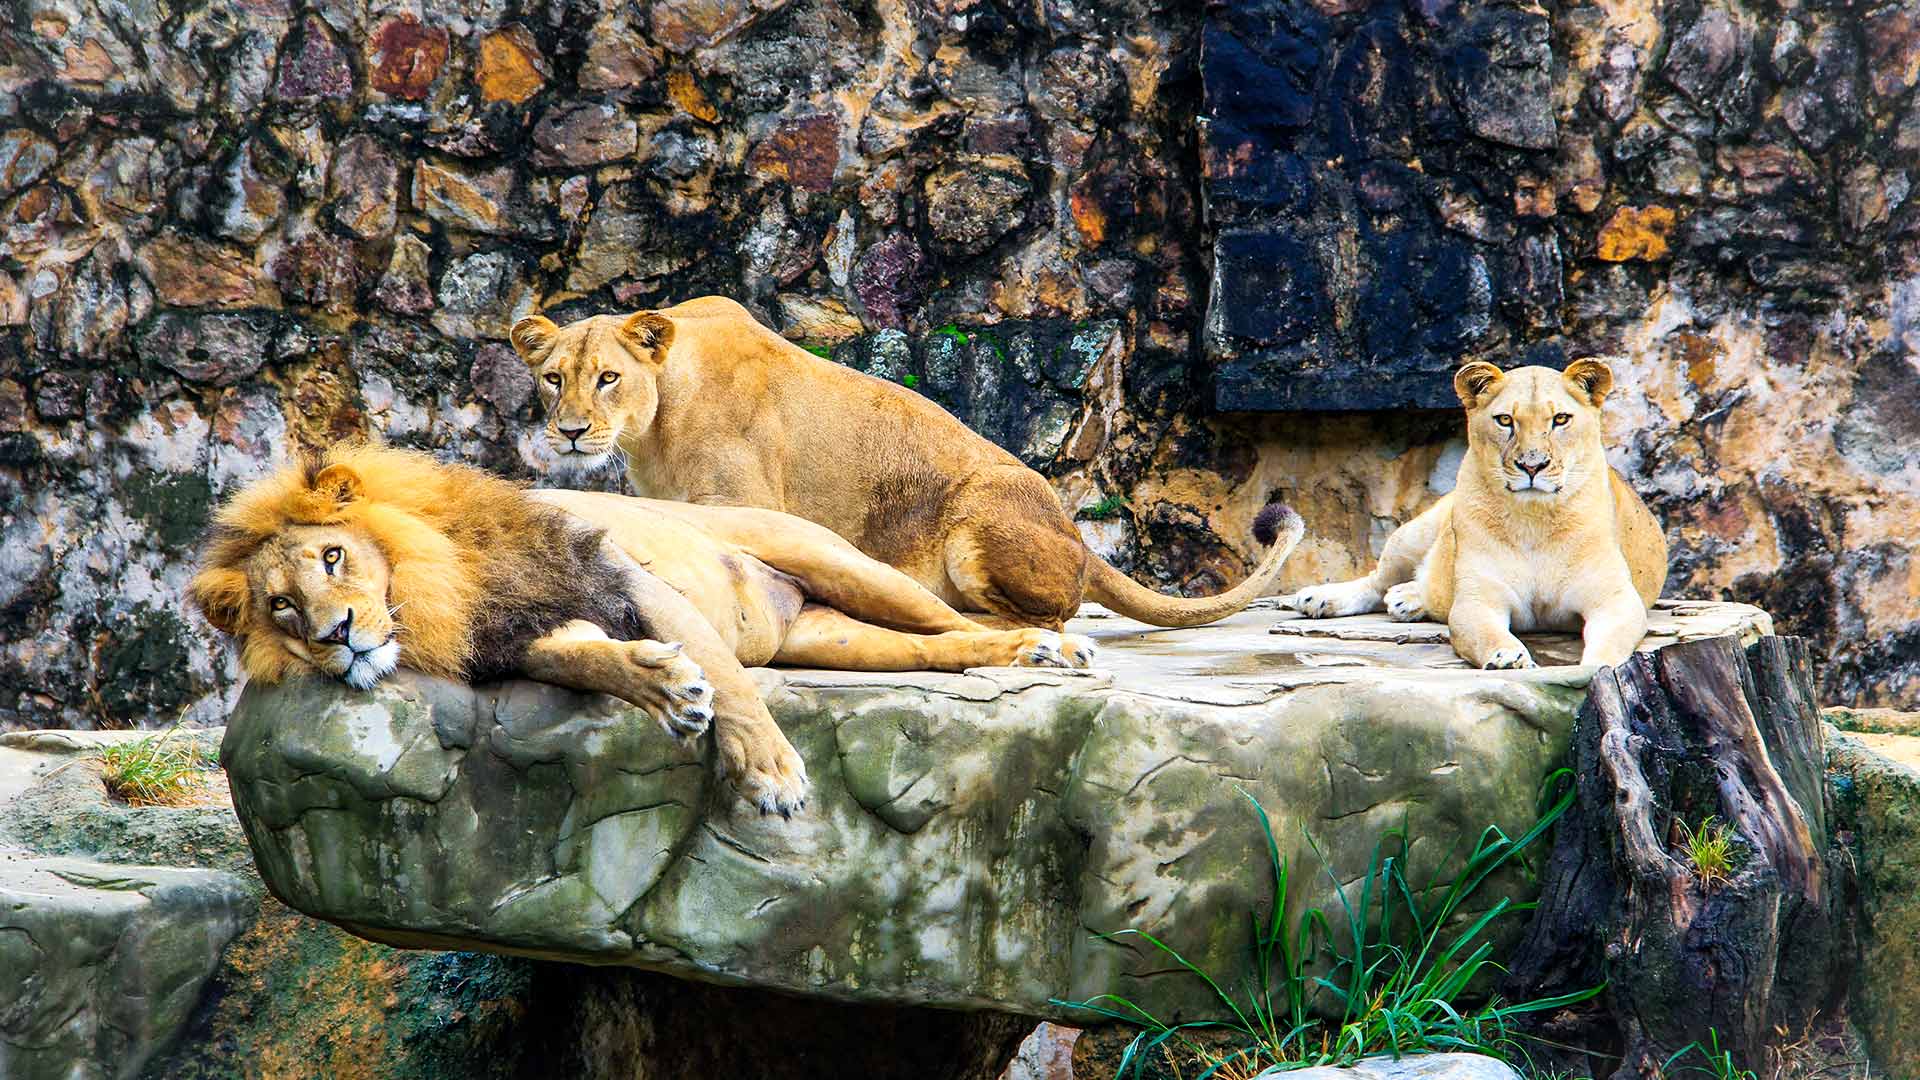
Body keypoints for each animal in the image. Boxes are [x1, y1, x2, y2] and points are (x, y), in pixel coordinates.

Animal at [194, 441, 1105, 810]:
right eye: (281, 605)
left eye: (335, 558)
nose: (336, 633)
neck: (446, 588)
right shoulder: (533, 633)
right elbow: (589, 663)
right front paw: (664, 688)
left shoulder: (626, 578)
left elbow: (731, 682)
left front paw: (771, 773)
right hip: (836, 636)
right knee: (938, 647)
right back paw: (1019, 651)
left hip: (842, 563)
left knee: (947, 616)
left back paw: (1048, 644)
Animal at [506, 295, 1305, 630]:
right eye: (553, 378)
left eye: (608, 378)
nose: (570, 433)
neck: (656, 422)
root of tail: (1078, 538)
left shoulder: (742, 502)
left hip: (975, 523)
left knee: (1055, 617)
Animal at [1290, 357, 1666, 668]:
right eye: (1505, 420)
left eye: (1560, 419)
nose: (1533, 466)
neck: (1533, 520)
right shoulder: (1478, 599)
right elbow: (1487, 632)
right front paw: (1508, 658)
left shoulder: (1615, 598)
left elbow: (1611, 645)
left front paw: (1595, 668)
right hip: (1410, 536)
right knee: (1374, 581)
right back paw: (1319, 598)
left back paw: (1407, 599)